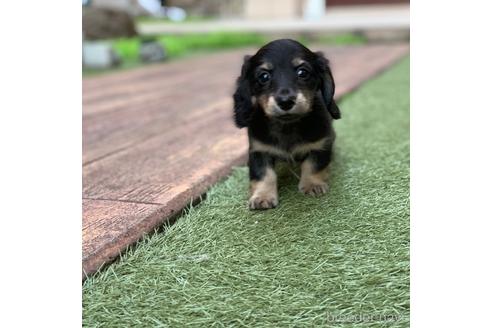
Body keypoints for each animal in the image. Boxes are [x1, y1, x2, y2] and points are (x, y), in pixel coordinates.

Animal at [233, 38, 340, 210]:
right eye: (263, 76)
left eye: (302, 72)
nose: (285, 101)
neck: (287, 127)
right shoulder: (259, 150)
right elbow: (264, 174)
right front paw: (262, 196)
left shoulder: (321, 144)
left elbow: (313, 165)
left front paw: (312, 185)